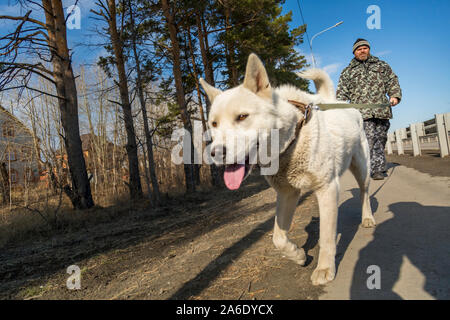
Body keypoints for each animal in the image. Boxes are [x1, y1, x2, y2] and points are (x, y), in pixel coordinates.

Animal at [200, 53, 376, 286]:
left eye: (242, 117)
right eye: (214, 124)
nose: (215, 153)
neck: (292, 139)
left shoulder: (327, 189)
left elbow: (326, 237)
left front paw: (325, 268)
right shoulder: (287, 194)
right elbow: (278, 238)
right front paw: (298, 255)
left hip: (362, 169)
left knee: (365, 193)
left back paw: (367, 218)